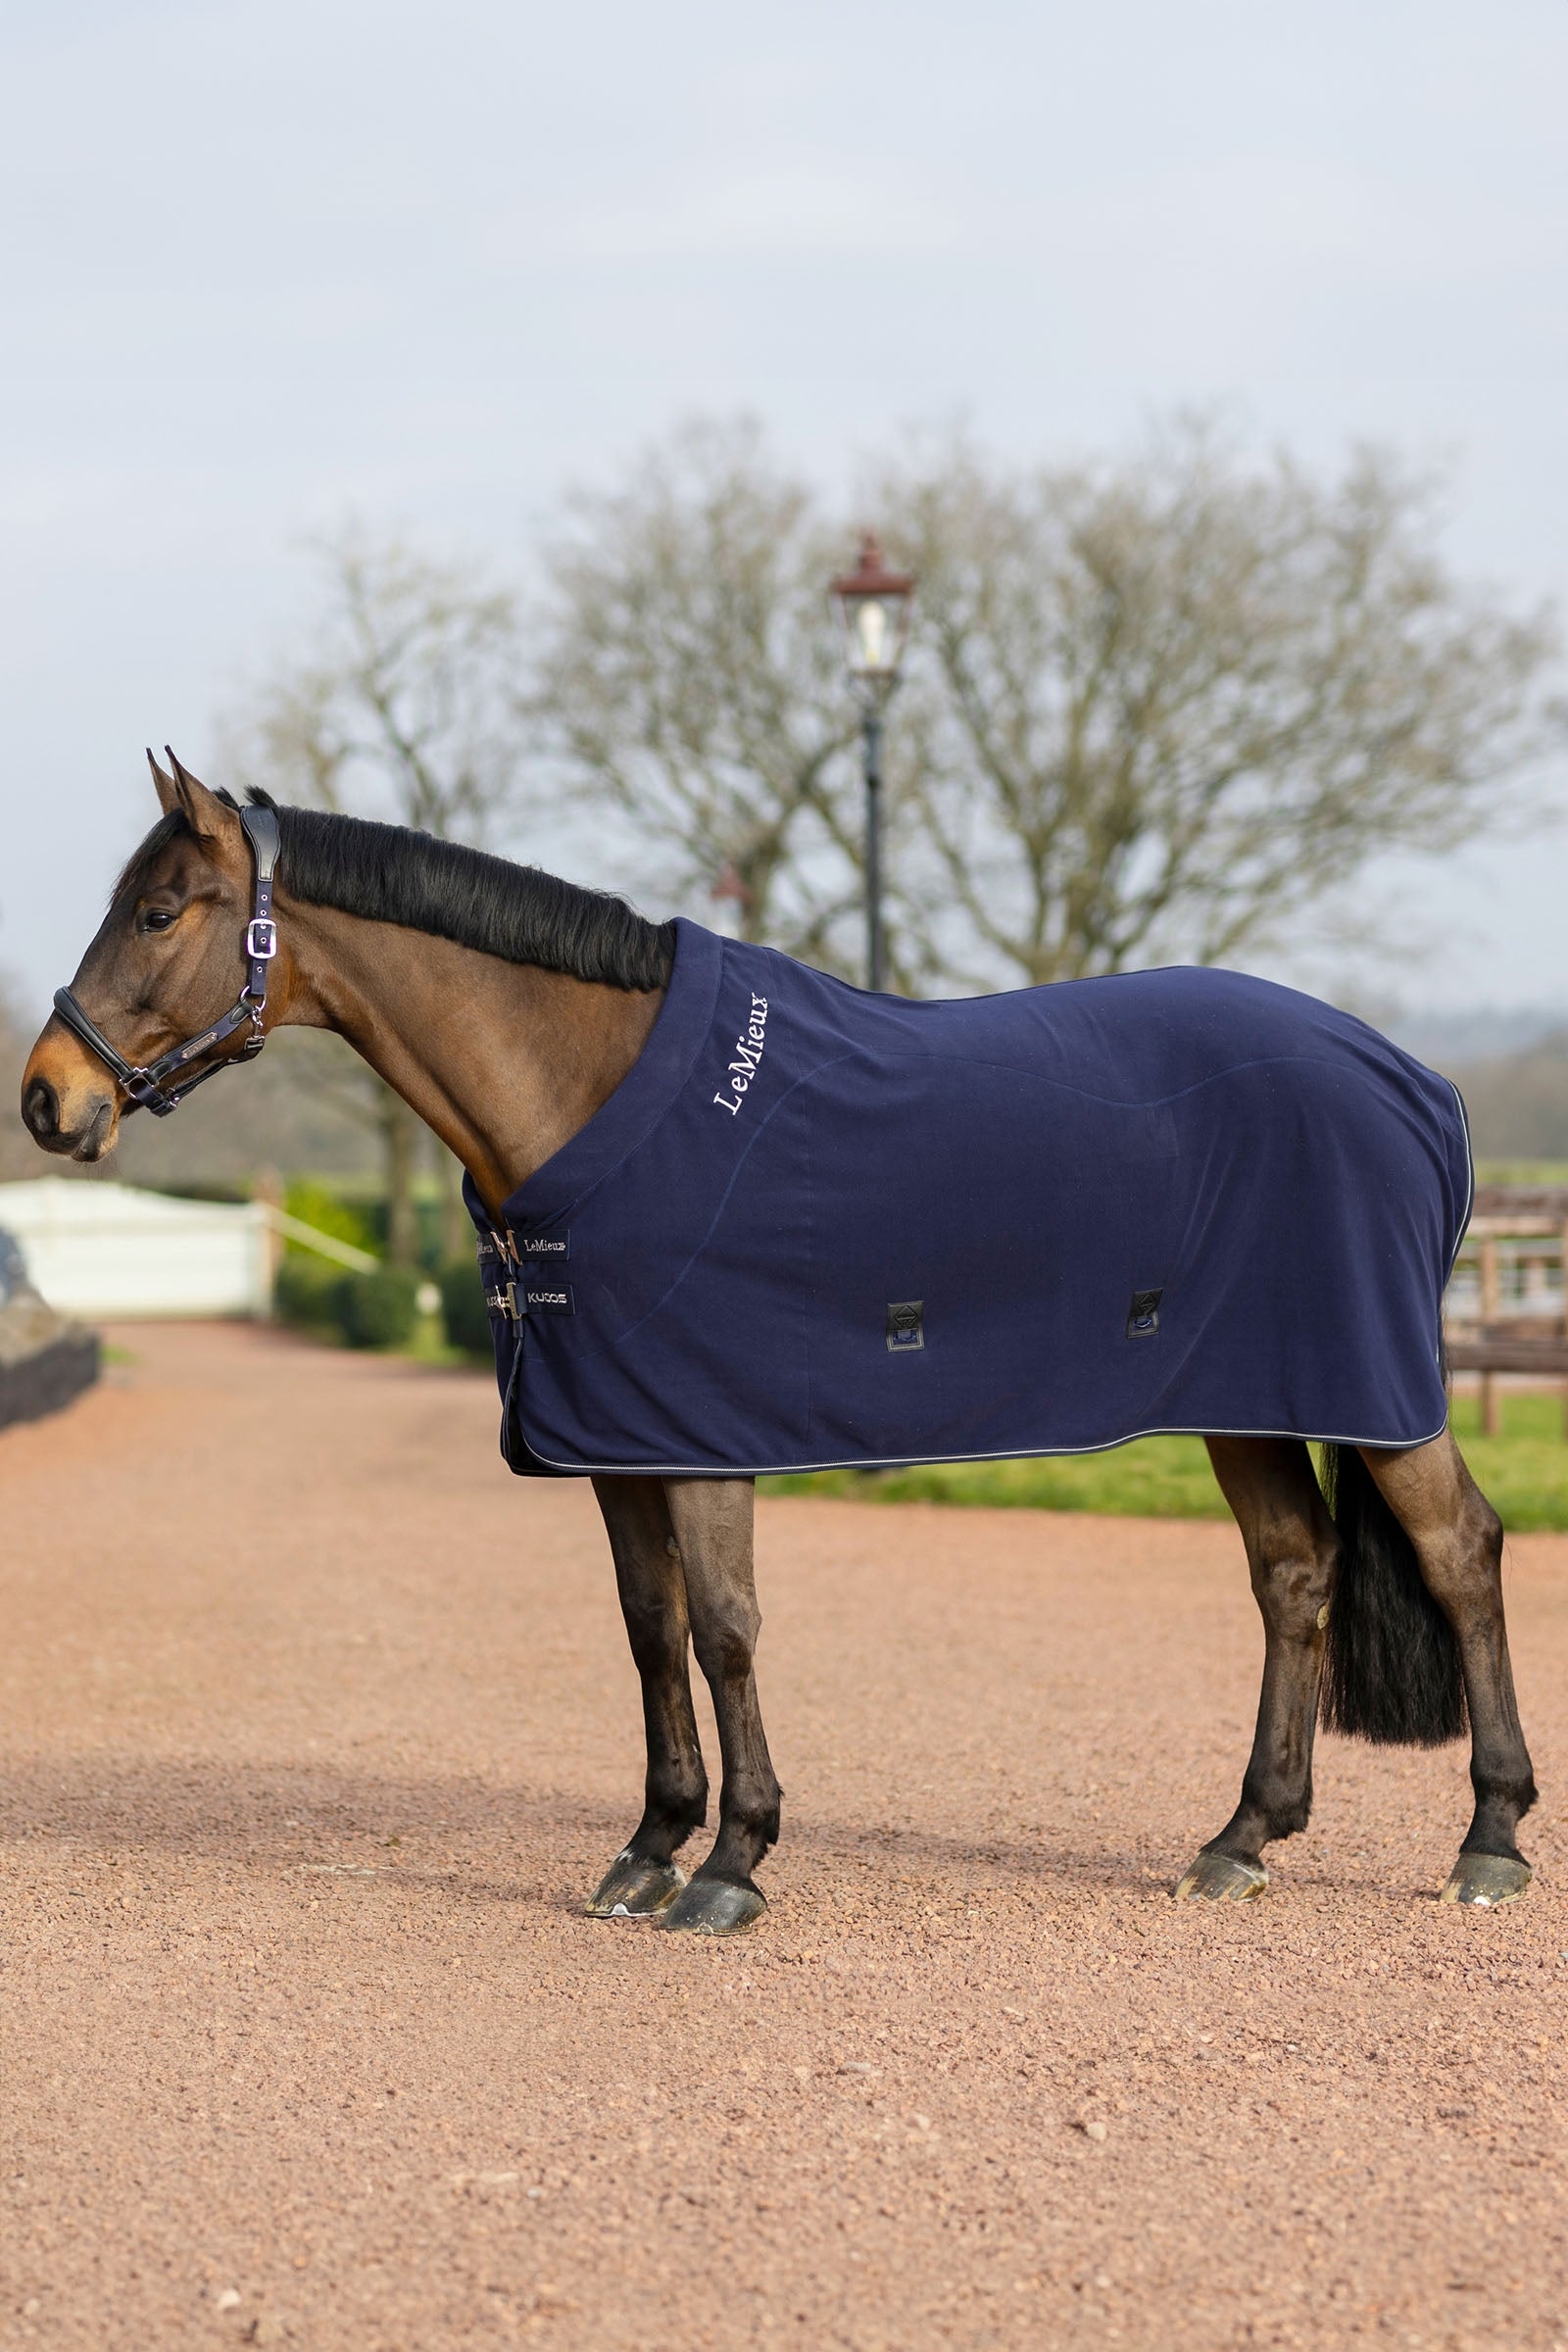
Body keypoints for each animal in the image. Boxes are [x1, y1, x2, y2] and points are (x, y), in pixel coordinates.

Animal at [20, 752, 1537, 1932]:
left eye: (158, 910)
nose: (47, 1098)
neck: (594, 1086)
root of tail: (1416, 1081)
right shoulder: (615, 1438)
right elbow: (648, 1631)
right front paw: (649, 1847)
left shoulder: (701, 1434)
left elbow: (728, 1629)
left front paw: (733, 1862)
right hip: (1246, 1399)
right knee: (1294, 1574)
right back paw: (1241, 1840)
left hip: (1376, 1395)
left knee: (1460, 1552)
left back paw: (1489, 1840)